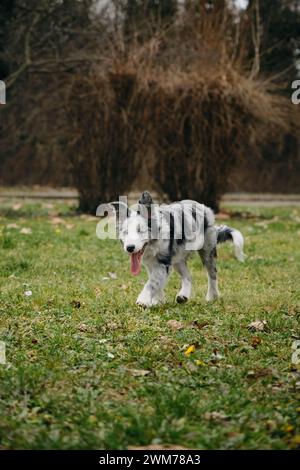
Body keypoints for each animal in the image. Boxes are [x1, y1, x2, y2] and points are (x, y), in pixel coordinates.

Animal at [109, 191, 245, 308]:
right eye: (125, 232)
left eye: (140, 230)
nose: (130, 248)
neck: (153, 243)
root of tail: (206, 208)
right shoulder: (151, 263)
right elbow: (157, 281)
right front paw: (158, 301)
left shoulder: (163, 262)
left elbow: (152, 282)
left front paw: (143, 300)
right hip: (178, 258)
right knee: (188, 276)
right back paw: (183, 296)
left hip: (207, 250)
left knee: (212, 273)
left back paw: (212, 297)